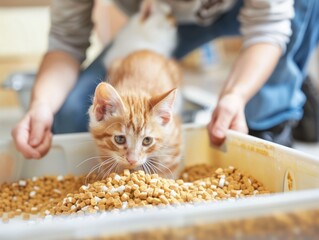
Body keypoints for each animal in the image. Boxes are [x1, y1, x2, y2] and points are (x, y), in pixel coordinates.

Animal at [89, 50, 182, 178]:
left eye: (147, 140)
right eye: (119, 139)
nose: (132, 160)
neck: (136, 90)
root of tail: (144, 50)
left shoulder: (173, 142)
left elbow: (167, 169)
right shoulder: (104, 152)